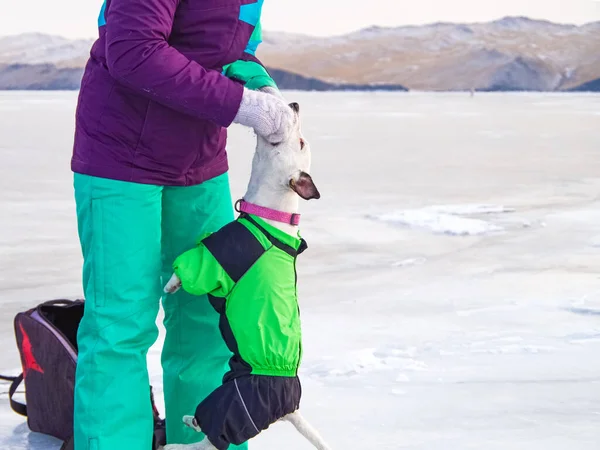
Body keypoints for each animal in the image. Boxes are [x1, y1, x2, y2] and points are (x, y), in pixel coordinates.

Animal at [162, 102, 330, 450]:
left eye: (301, 142)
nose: (294, 104)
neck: (271, 215)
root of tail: (290, 410)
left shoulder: (219, 257)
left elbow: (191, 268)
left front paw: (172, 283)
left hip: (234, 405)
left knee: (210, 441)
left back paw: (178, 440)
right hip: (230, 385)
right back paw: (189, 420)